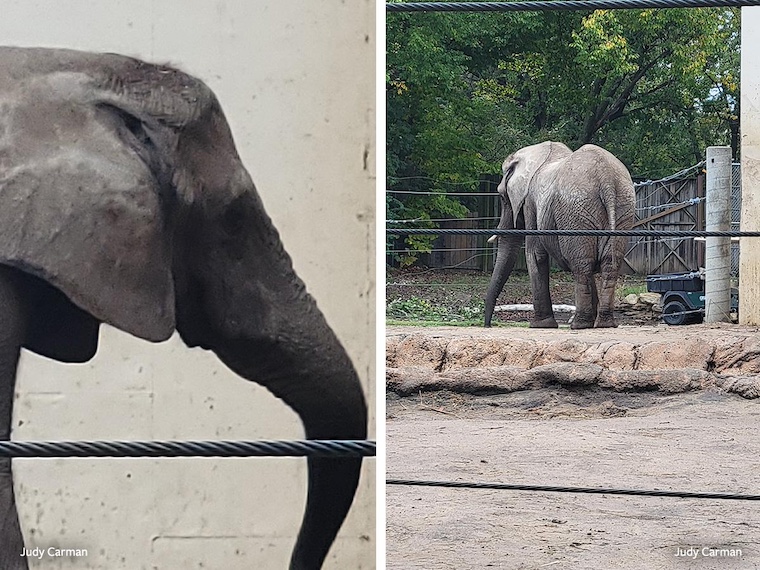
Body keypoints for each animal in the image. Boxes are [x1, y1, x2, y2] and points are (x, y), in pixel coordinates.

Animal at [484, 141, 635, 329]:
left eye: (503, 198)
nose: (488, 324)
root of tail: (606, 178)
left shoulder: (530, 202)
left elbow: (535, 254)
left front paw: (540, 325)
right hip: (623, 206)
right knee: (607, 264)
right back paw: (604, 324)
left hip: (575, 211)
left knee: (581, 265)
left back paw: (579, 325)